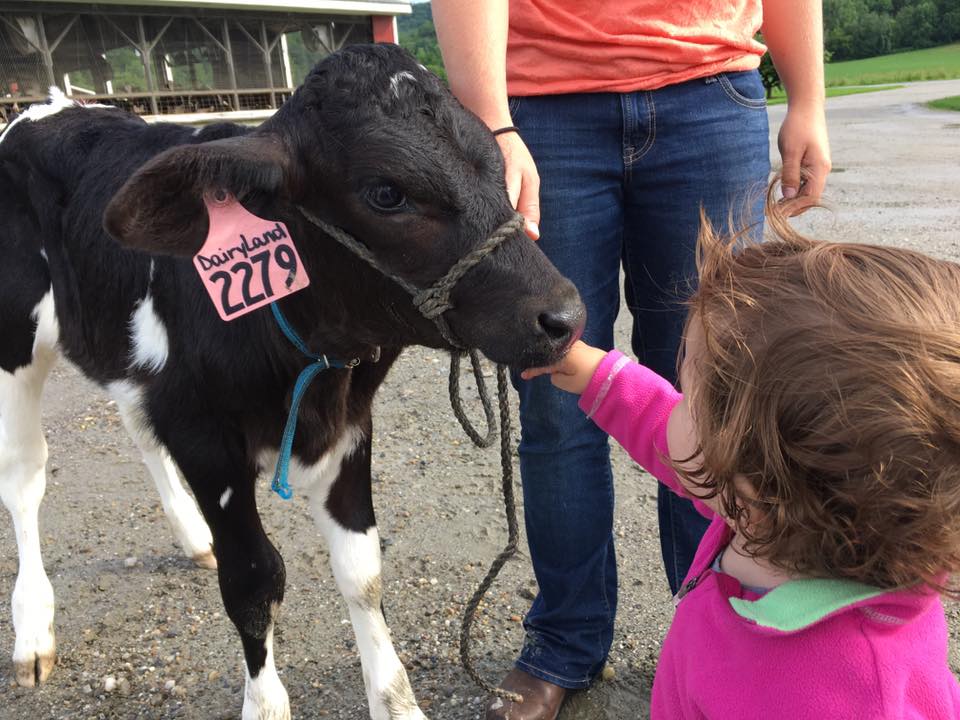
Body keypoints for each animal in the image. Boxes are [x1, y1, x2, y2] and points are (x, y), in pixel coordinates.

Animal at [0, 43, 584, 720]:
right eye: (386, 192)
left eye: (496, 165)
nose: (564, 316)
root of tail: (49, 103)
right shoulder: (206, 440)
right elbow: (254, 580)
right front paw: (265, 702)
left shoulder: (350, 426)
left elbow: (362, 571)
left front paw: (396, 701)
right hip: (15, 340)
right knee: (23, 474)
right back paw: (33, 628)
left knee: (137, 429)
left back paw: (190, 536)